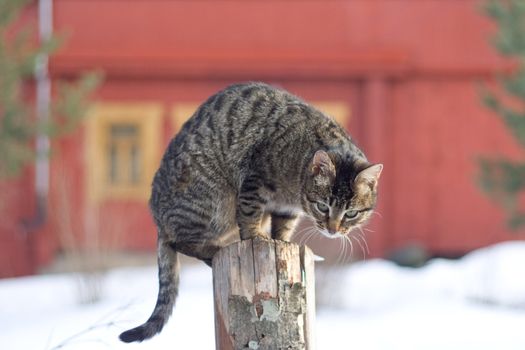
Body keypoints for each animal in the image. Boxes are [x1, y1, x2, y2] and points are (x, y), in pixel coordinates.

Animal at [118, 82, 380, 342]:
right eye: (323, 206)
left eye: (352, 213)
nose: (333, 229)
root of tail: (157, 218)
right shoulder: (255, 179)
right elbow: (249, 215)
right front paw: (256, 236)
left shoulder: (285, 209)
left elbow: (283, 229)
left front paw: (282, 241)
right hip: (214, 203)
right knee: (180, 241)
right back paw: (213, 250)